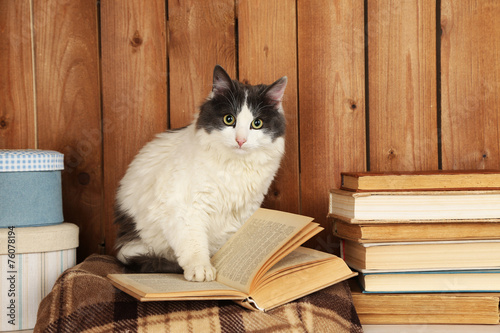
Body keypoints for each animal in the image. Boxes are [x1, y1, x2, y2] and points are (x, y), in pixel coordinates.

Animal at [113, 64, 286, 280]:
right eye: (229, 119)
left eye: (257, 124)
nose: (240, 140)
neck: (234, 167)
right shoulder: (185, 208)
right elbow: (193, 244)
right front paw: (201, 269)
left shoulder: (243, 212)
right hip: (140, 243)